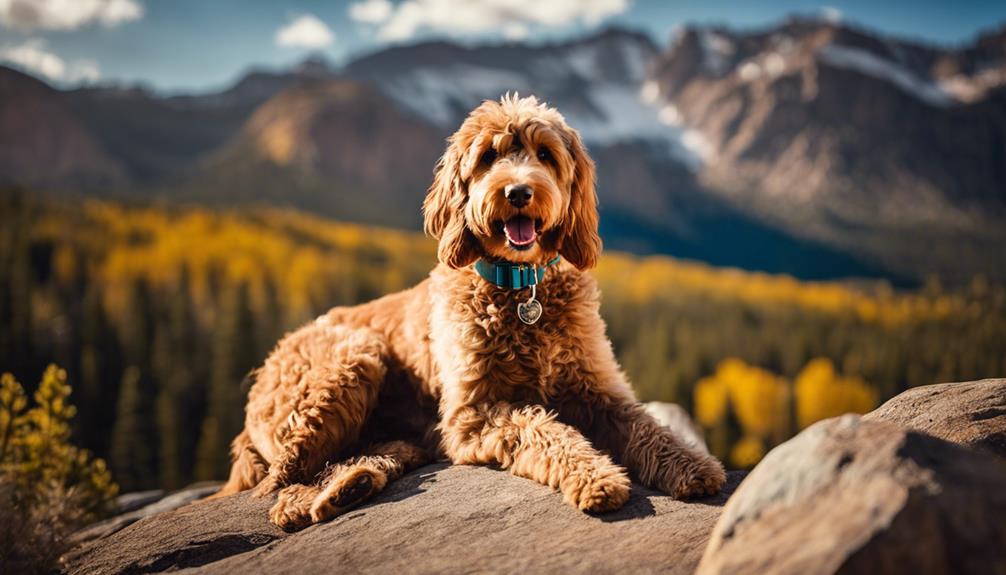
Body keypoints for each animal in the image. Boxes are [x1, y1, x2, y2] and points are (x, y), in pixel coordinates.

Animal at [212, 92, 728, 530]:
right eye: (487, 158)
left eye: (545, 155)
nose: (518, 192)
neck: (521, 289)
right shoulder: (473, 414)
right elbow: (543, 430)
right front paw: (595, 477)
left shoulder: (599, 389)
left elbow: (647, 427)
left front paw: (693, 464)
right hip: (351, 359)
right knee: (279, 489)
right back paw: (324, 496)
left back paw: (354, 483)